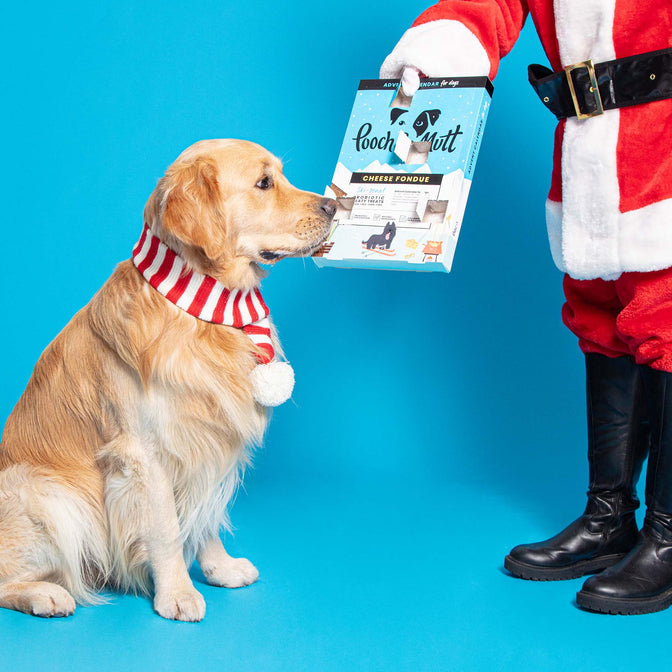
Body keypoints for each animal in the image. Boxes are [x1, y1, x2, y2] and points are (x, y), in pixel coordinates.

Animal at [0, 139, 336, 624]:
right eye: (263, 183)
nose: (336, 205)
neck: (204, 310)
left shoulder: (210, 441)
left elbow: (205, 516)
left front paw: (219, 567)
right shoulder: (145, 455)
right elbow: (166, 531)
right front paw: (176, 592)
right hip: (47, 493)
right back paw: (45, 594)